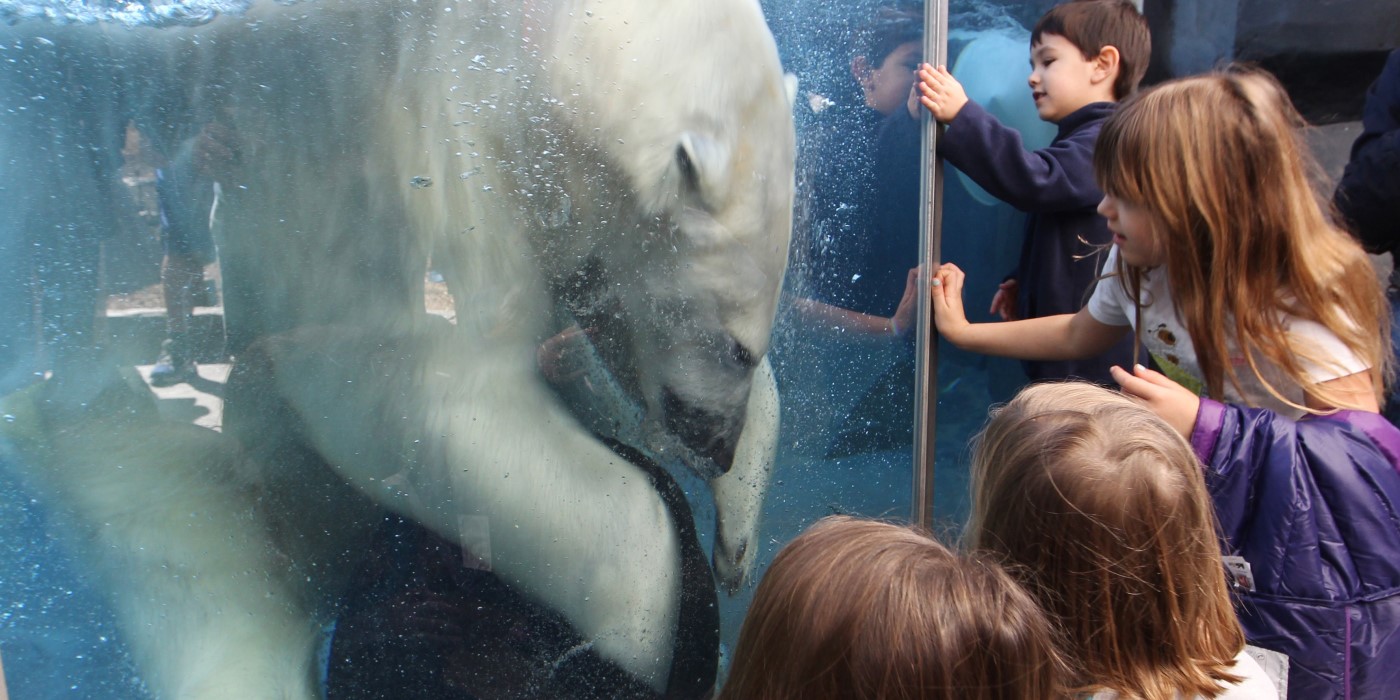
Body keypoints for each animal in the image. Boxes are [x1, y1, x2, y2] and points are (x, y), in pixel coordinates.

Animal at [0, 0, 795, 694]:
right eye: (734, 346)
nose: (715, 447)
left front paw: (735, 541)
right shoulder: (431, 135)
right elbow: (443, 395)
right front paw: (630, 639)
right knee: (207, 579)